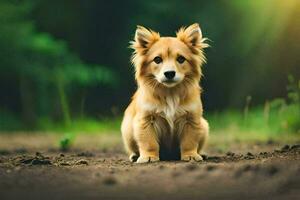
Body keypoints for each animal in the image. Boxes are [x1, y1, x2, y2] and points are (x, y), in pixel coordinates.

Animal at [120, 23, 210, 163]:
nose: (169, 73)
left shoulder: (191, 120)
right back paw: (135, 156)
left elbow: (189, 142)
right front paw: (149, 157)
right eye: (157, 59)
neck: (170, 93)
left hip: (204, 126)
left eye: (181, 59)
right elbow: (149, 143)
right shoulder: (146, 121)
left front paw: (190, 155)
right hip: (128, 130)